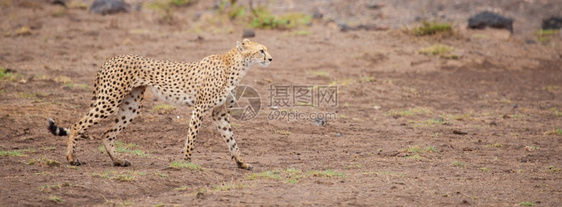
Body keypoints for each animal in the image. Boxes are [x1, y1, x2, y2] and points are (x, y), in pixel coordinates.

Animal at [47, 38, 270, 170]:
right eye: (261, 51)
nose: (270, 58)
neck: (236, 65)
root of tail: (110, 59)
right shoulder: (199, 108)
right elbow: (192, 137)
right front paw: (186, 162)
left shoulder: (219, 113)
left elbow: (231, 139)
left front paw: (242, 162)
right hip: (109, 100)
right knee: (77, 125)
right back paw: (71, 159)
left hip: (131, 107)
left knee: (107, 134)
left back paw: (118, 160)